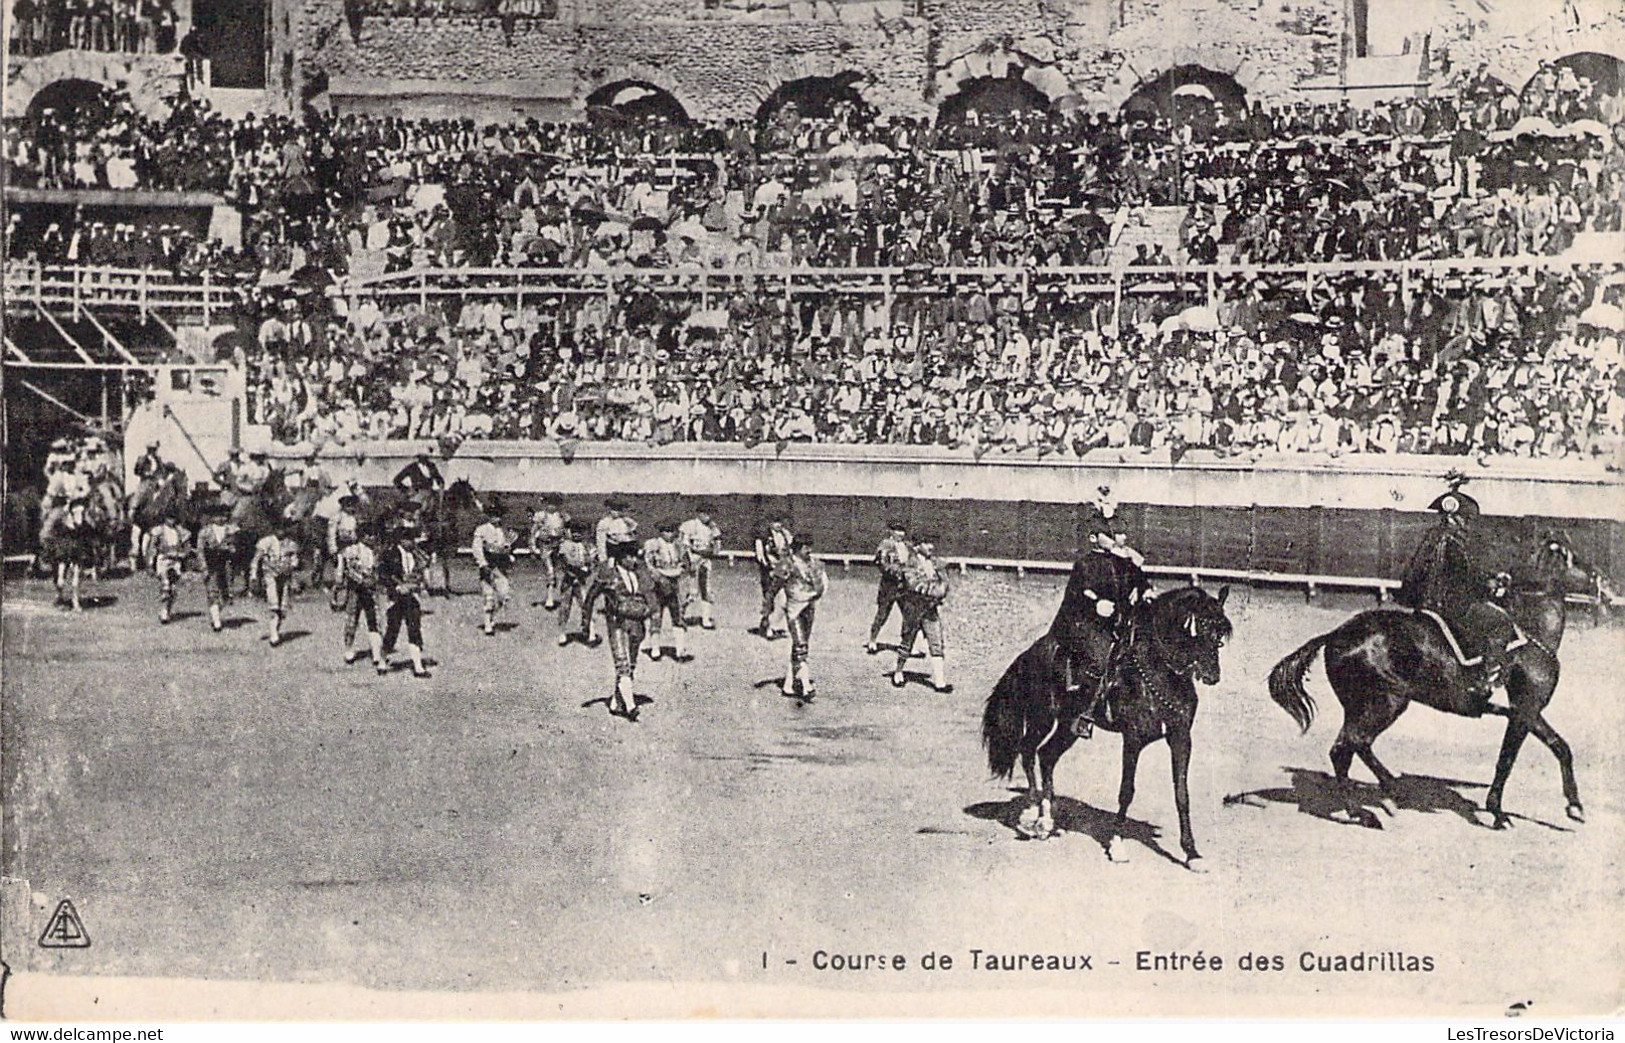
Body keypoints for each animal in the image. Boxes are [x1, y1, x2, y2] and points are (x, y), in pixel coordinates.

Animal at [981, 584, 1235, 857]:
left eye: (1220, 634)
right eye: (1198, 628)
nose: (1212, 675)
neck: (1160, 671)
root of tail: (1030, 653)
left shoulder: (1181, 738)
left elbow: (1181, 793)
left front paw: (1191, 852)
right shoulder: (1133, 739)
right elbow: (1126, 791)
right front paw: (1117, 843)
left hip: (1069, 726)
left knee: (1046, 756)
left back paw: (1047, 820)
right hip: (1042, 717)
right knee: (1028, 751)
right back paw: (1032, 815)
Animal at [1267, 532, 1599, 825]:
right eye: (1577, 560)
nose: (1601, 579)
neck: (1531, 634)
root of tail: (1335, 634)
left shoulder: (1527, 710)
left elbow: (1559, 746)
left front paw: (1575, 807)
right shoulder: (1525, 708)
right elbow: (1507, 760)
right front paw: (1497, 814)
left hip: (1361, 707)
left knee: (1348, 748)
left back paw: (1380, 799)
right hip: (1388, 703)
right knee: (1351, 745)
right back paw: (1376, 805)